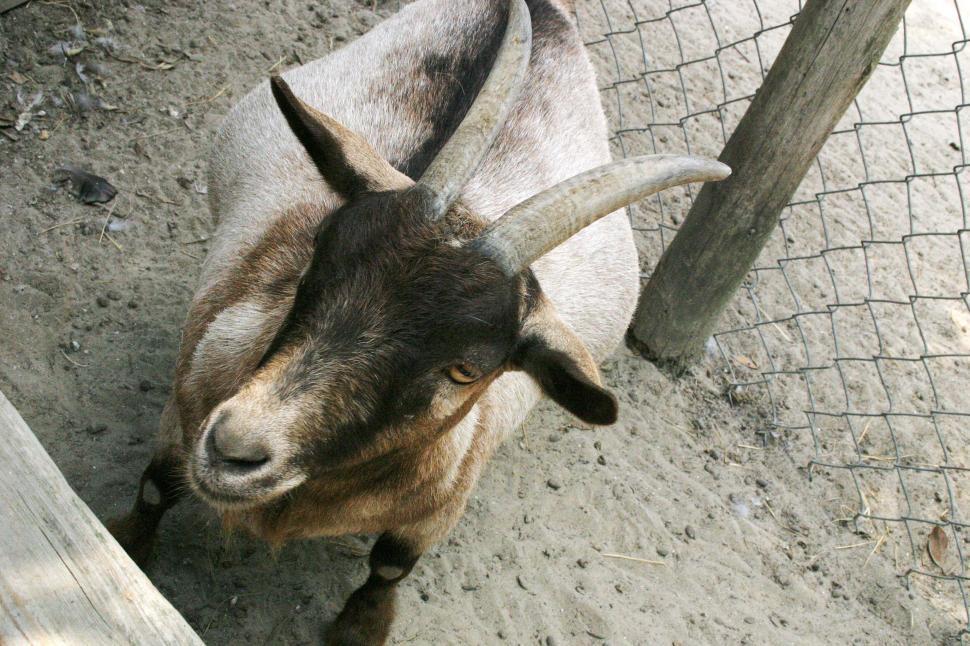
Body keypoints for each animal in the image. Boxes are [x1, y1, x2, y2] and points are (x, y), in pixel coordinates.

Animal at [107, 0, 728, 643]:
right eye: (314, 261)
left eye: (466, 369)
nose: (235, 447)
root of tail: (547, 10)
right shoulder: (187, 407)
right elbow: (156, 484)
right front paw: (128, 547)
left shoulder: (444, 500)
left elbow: (390, 564)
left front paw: (359, 627)